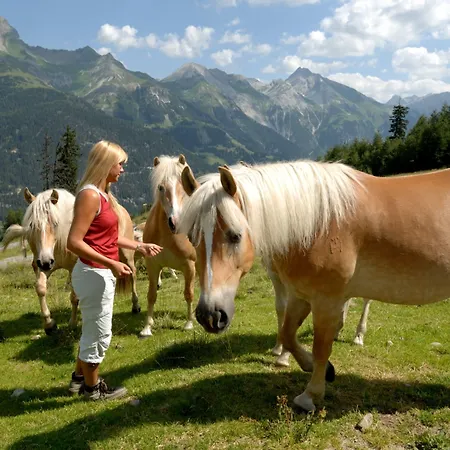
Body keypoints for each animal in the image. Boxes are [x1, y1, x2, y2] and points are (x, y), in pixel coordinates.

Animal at [2, 187, 140, 335]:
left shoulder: (73, 268)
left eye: (55, 223)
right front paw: (49, 324)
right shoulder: (44, 266)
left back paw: (135, 306)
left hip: (126, 255)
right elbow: (40, 289)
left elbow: (74, 297)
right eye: (32, 225)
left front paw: (72, 323)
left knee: (132, 273)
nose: (45, 262)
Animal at [139, 154, 196, 337]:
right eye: (160, 187)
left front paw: (189, 323)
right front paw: (147, 327)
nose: (175, 222)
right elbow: (151, 295)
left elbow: (188, 293)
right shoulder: (152, 265)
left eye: (183, 185)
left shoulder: (189, 266)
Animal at [178, 159, 450, 412]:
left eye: (235, 235)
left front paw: (310, 396)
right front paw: (318, 368)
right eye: (192, 237)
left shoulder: (326, 302)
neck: (318, 226)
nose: (210, 316)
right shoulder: (301, 296)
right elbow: (287, 335)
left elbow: (321, 347)